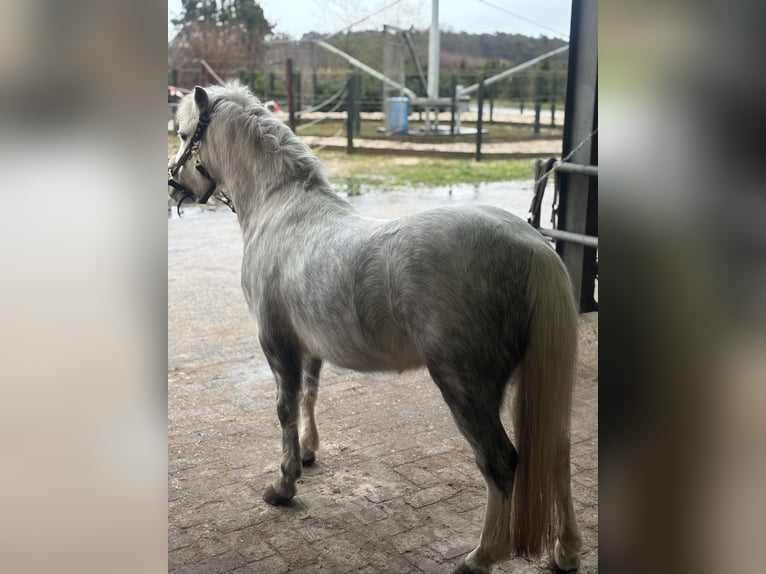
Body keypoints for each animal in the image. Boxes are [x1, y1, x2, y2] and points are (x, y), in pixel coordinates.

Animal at [170, 85, 584, 574]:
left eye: (184, 134)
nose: (173, 182)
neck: (282, 208)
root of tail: (535, 248)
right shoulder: (309, 345)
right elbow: (310, 394)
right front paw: (307, 454)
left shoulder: (276, 341)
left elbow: (285, 408)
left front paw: (283, 485)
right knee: (557, 452)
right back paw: (566, 551)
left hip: (467, 387)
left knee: (500, 462)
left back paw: (481, 556)